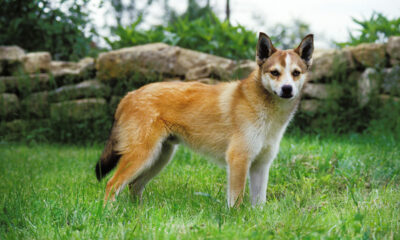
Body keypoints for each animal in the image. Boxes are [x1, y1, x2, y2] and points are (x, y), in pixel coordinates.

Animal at [95, 32, 314, 207]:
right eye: (275, 72)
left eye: (296, 73)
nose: (287, 89)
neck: (264, 109)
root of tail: (129, 95)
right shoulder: (239, 159)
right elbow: (236, 200)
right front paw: (235, 220)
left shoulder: (261, 165)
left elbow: (259, 203)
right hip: (142, 156)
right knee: (112, 184)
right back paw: (109, 213)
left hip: (159, 158)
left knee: (134, 186)